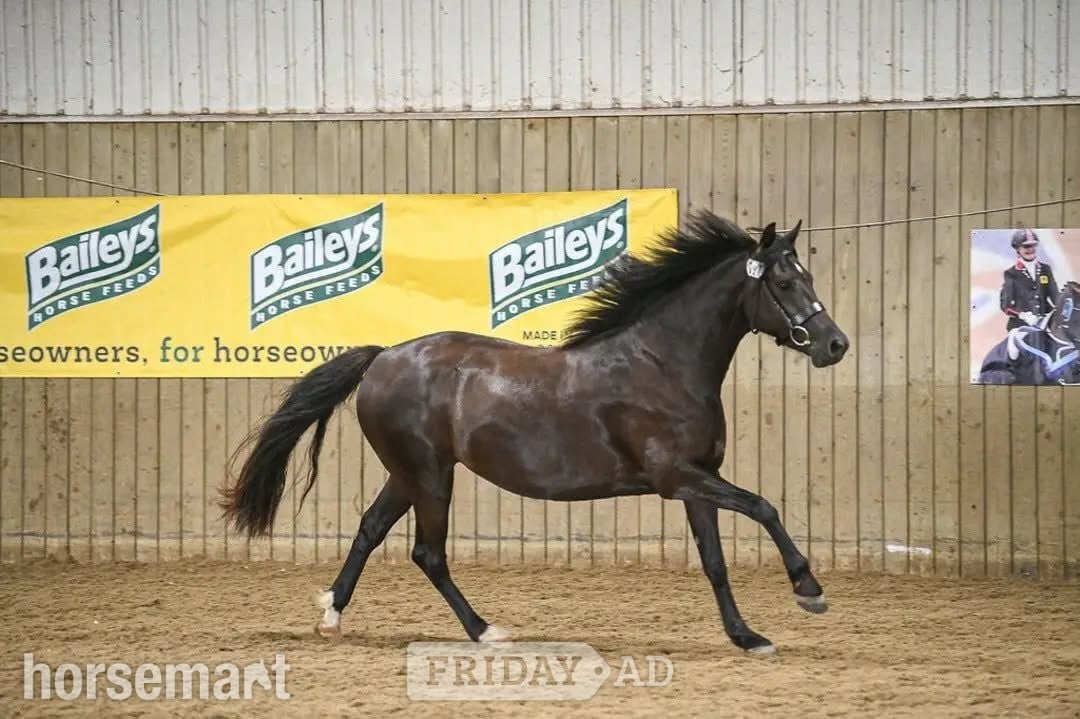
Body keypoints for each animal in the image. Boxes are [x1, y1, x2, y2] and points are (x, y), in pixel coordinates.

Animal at [219, 210, 850, 656]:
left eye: (806, 275)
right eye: (785, 282)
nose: (835, 344)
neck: (662, 363)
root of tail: (383, 357)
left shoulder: (697, 482)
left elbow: (715, 561)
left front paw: (748, 636)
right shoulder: (678, 477)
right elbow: (765, 506)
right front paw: (809, 590)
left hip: (409, 473)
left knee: (371, 530)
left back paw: (332, 615)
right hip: (429, 475)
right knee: (428, 552)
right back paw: (485, 631)